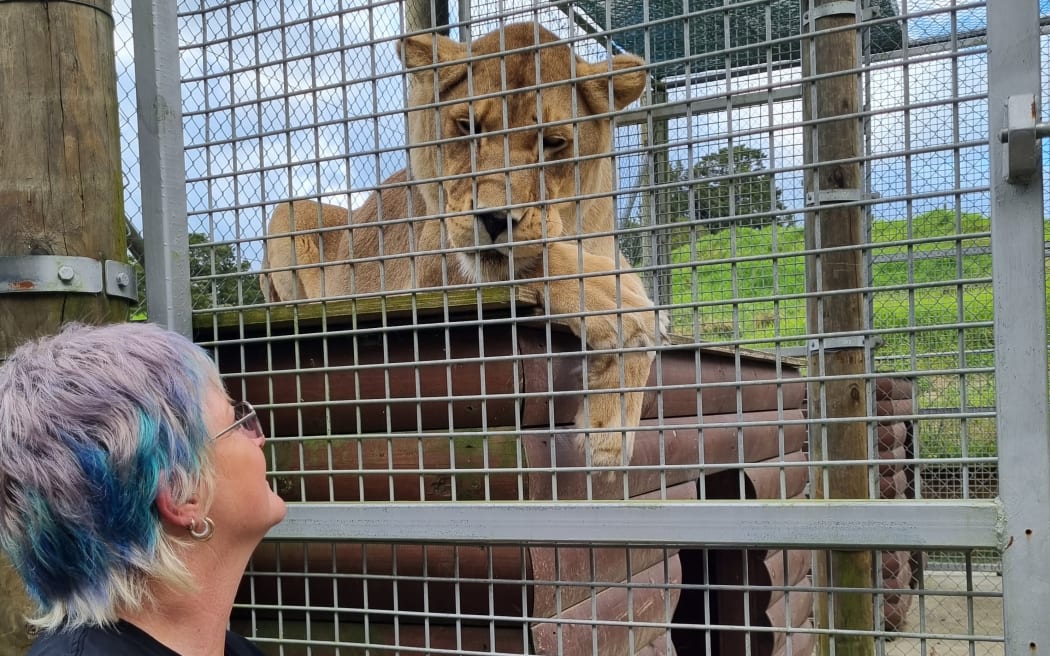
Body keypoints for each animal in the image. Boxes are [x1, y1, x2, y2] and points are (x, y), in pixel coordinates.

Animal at [264, 23, 663, 468]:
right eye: (467, 126)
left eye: (553, 142)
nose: (495, 218)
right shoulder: (433, 262)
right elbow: (573, 277)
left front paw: (609, 433)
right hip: (289, 211)